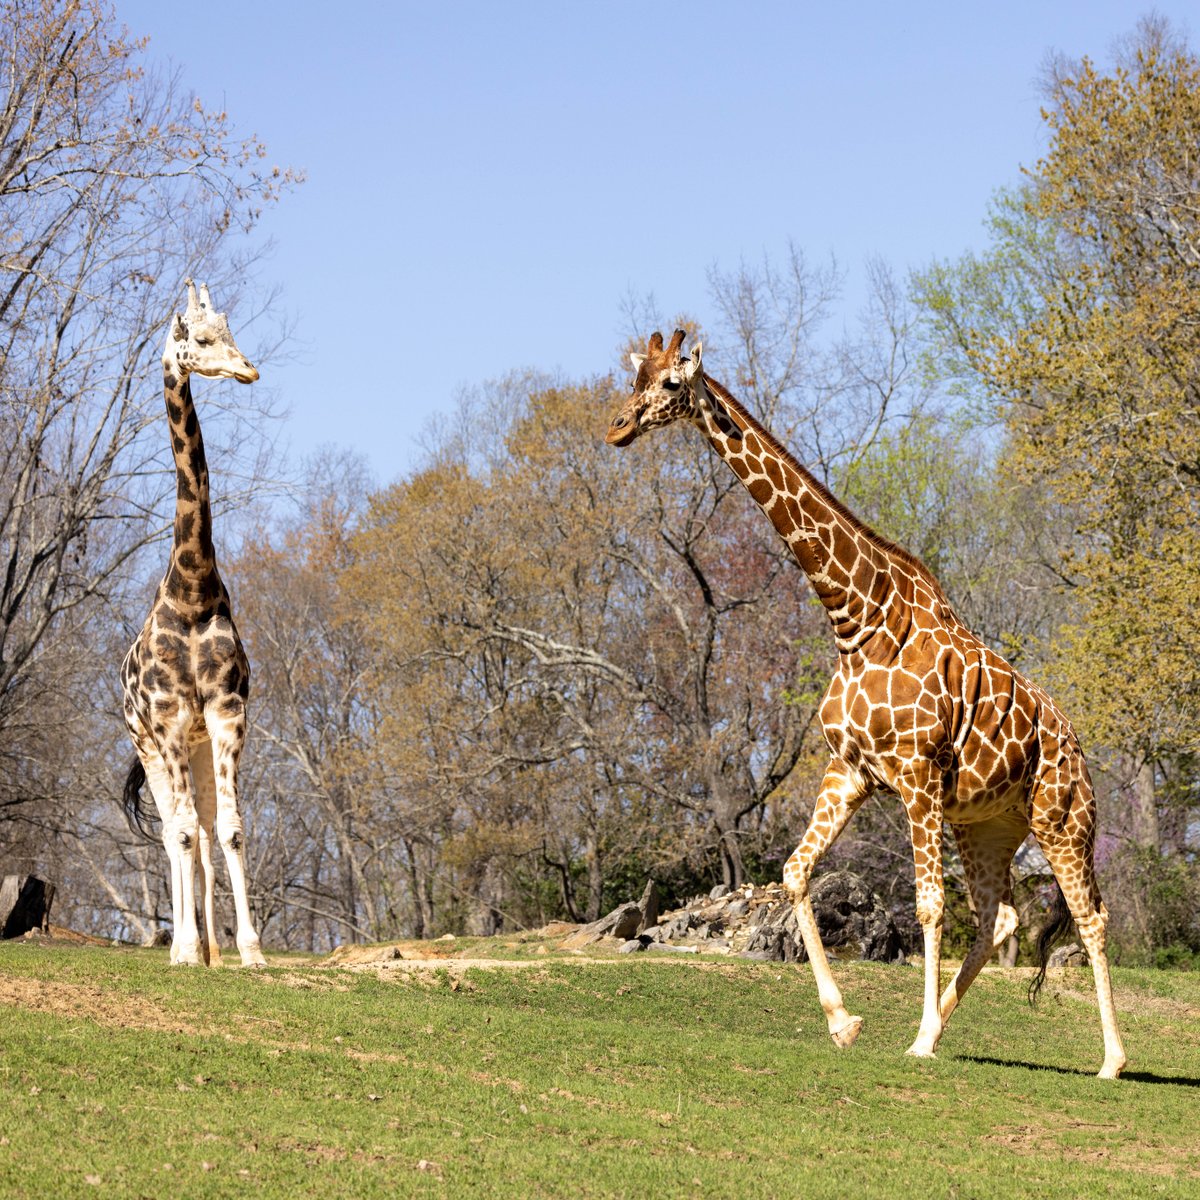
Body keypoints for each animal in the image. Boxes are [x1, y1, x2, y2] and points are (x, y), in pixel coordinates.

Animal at [605, 329, 1126, 1079]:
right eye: (633, 379)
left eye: (671, 385)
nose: (617, 427)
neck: (858, 619)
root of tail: (1078, 747)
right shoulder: (850, 770)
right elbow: (795, 873)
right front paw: (845, 1022)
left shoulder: (916, 775)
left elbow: (928, 906)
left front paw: (912, 1038)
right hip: (987, 825)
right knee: (998, 916)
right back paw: (941, 1023)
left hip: (1062, 821)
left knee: (1090, 917)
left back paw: (1109, 1059)